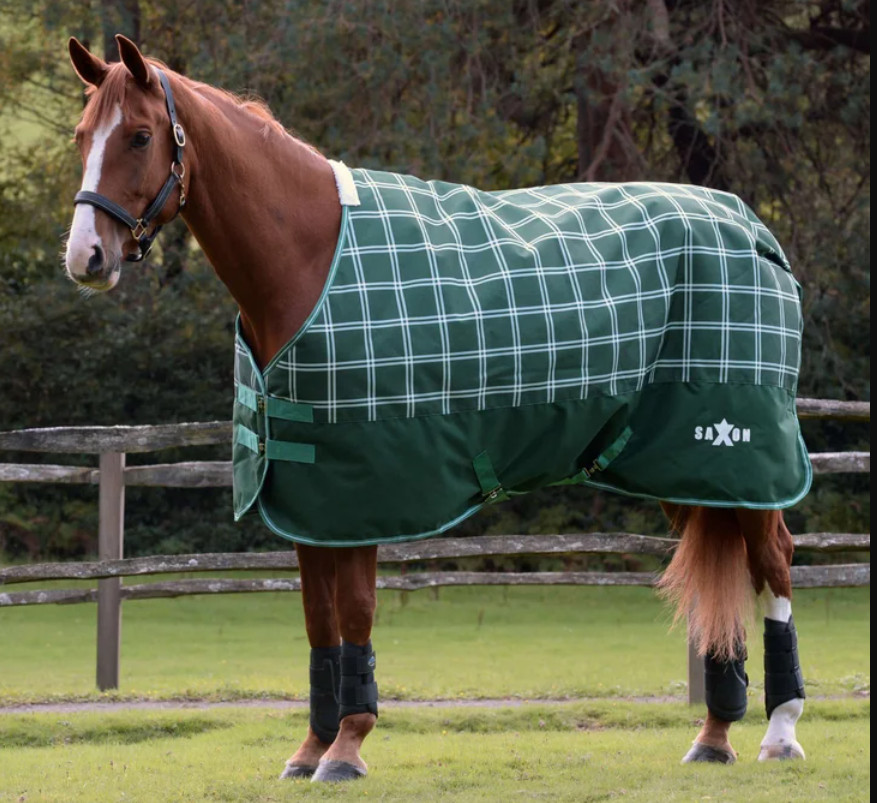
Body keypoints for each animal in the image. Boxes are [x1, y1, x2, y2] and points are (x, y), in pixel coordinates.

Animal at [63, 35, 810, 782]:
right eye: (80, 136)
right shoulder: (309, 498)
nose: (85, 257)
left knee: (772, 559)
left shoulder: (359, 493)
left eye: (138, 136)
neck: (306, 258)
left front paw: (348, 746)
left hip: (740, 455)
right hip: (680, 467)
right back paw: (713, 734)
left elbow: (356, 611)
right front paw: (310, 747)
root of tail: (747, 225)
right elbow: (318, 621)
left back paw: (780, 729)